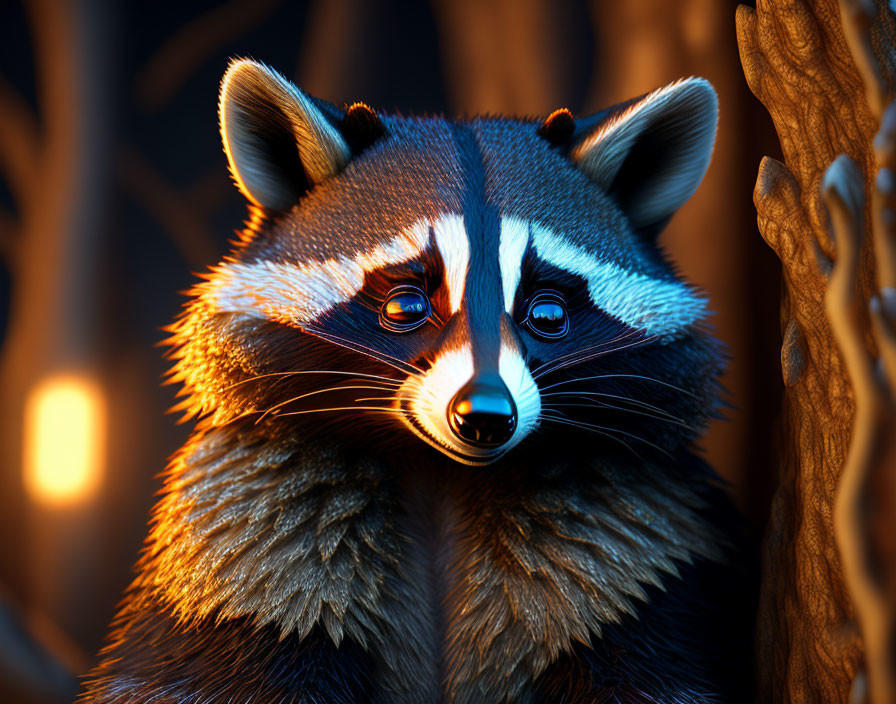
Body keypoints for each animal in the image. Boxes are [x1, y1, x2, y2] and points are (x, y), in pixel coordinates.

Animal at [86, 60, 756, 704]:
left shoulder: (637, 547)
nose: (484, 416)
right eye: (407, 303)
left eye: (546, 314)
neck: (443, 473)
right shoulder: (249, 535)